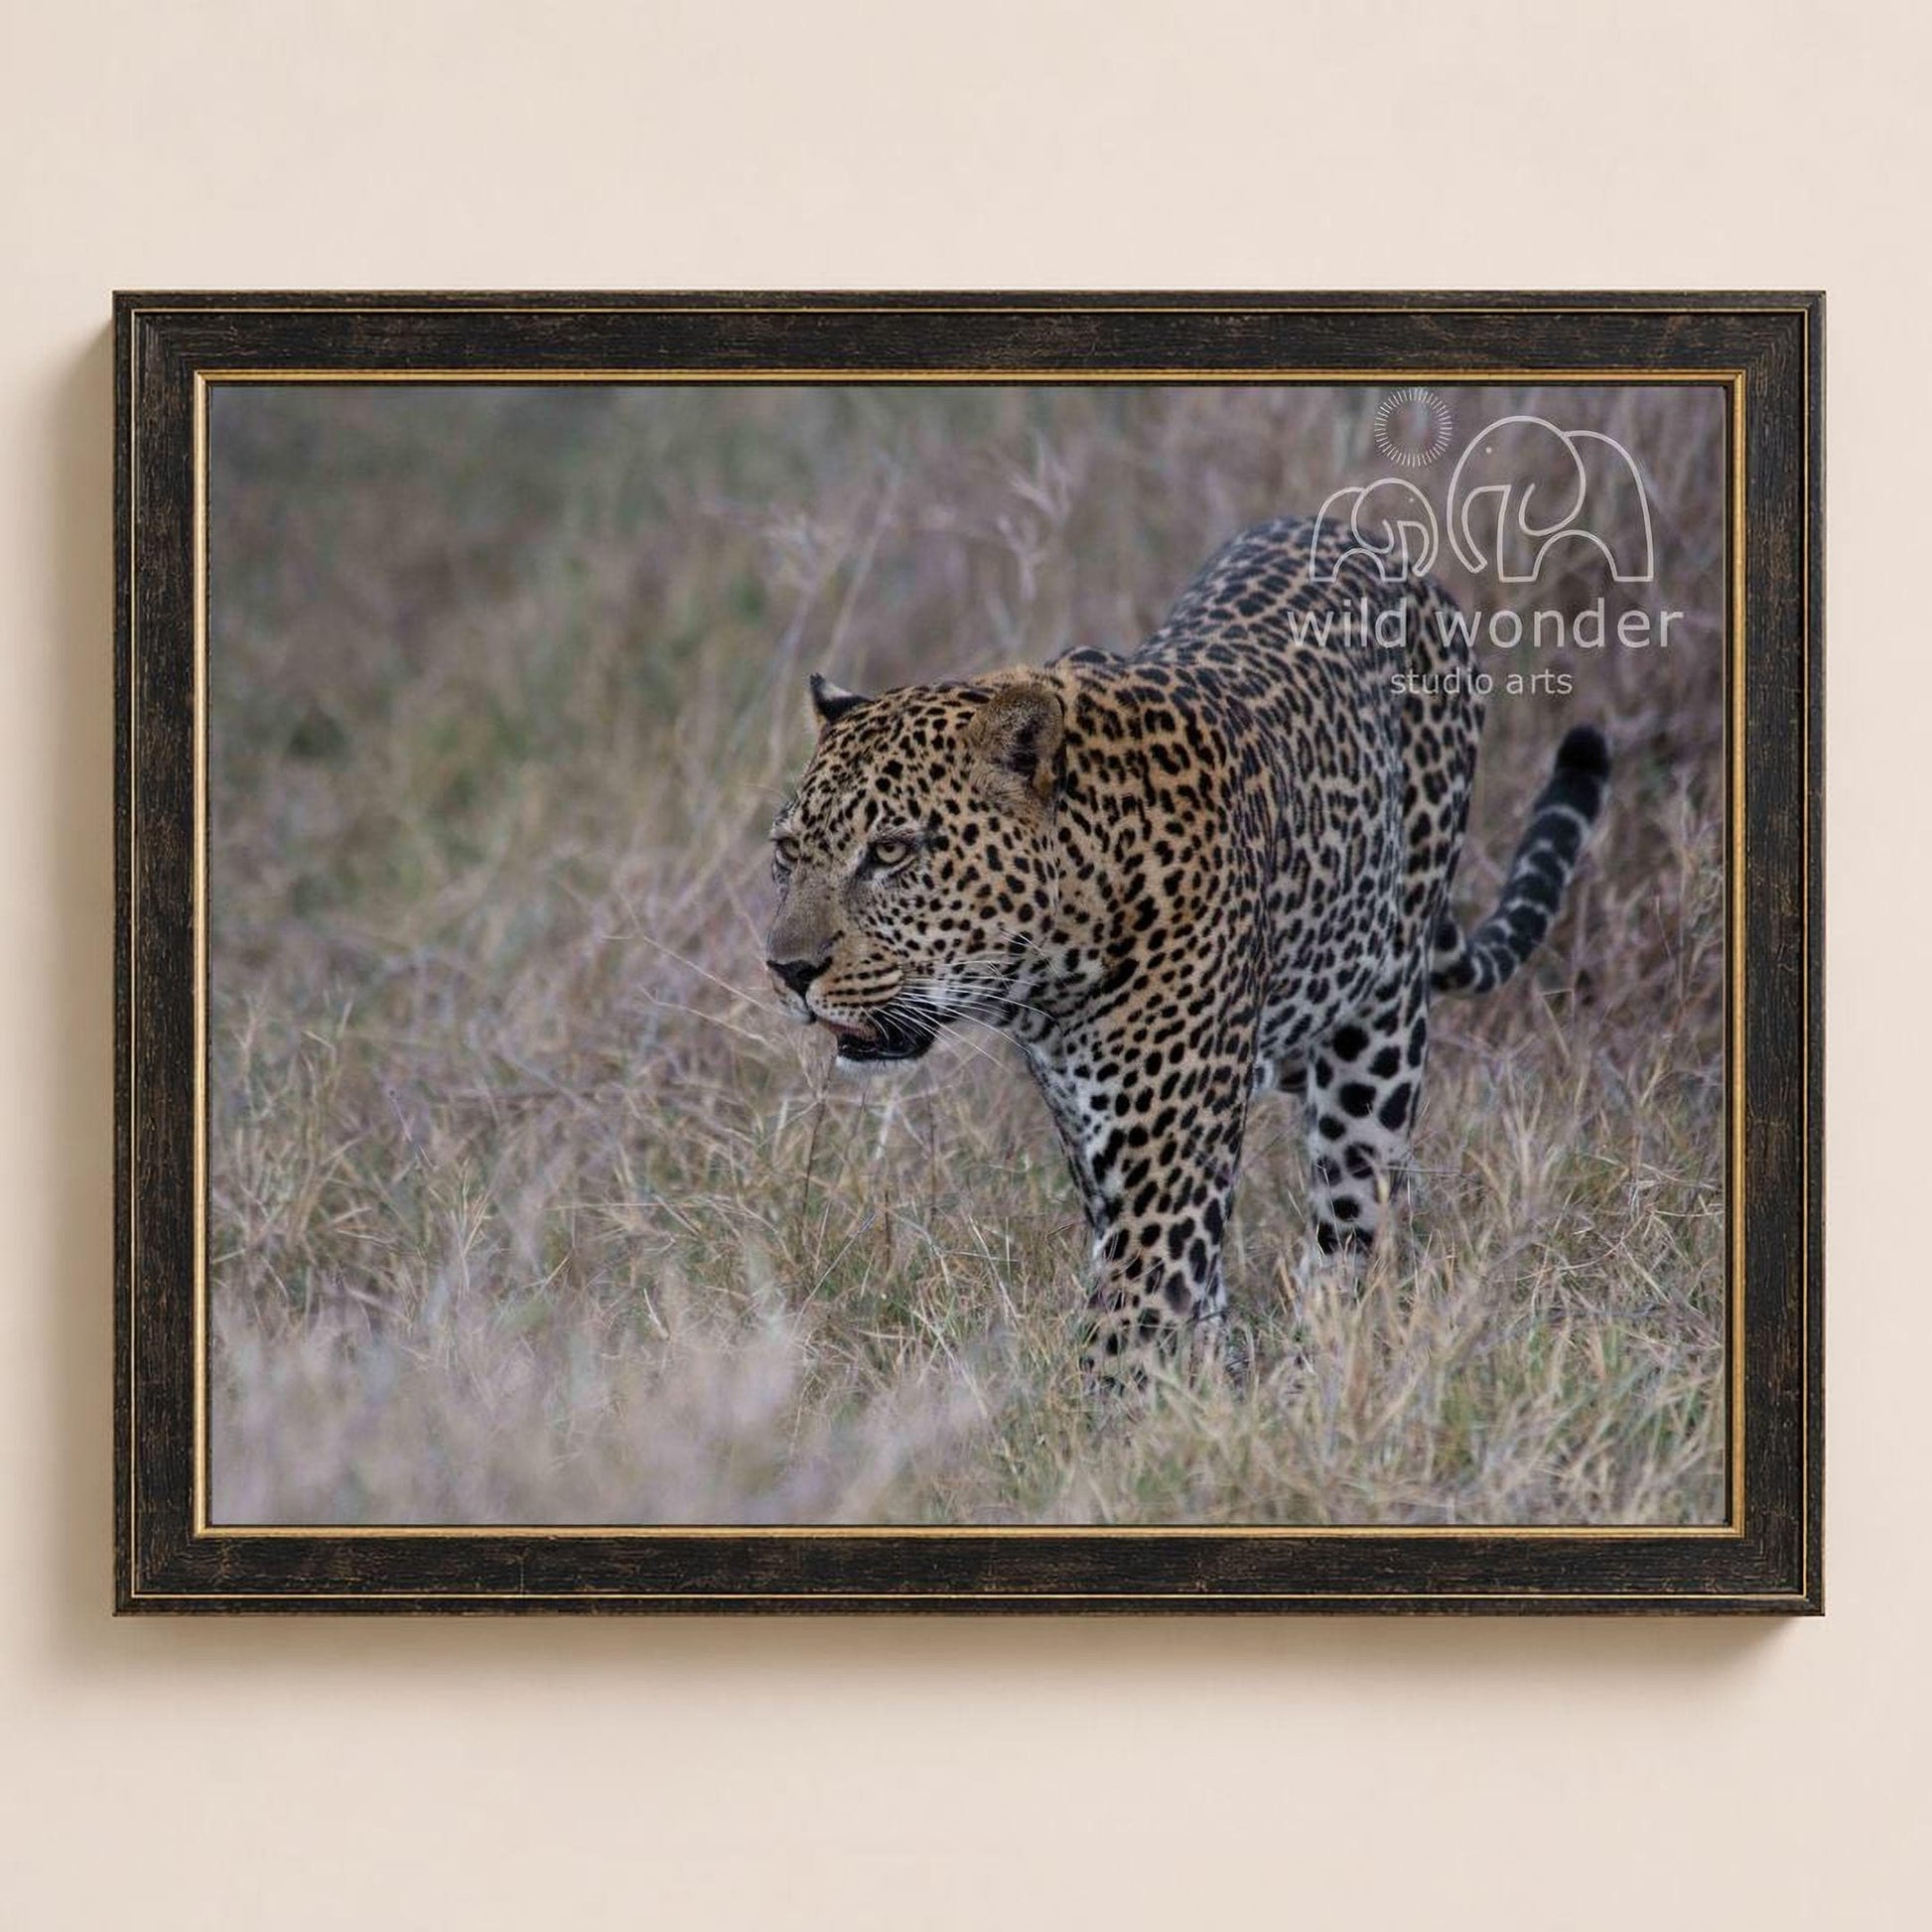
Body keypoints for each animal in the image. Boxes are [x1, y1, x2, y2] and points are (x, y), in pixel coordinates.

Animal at [765, 515, 1610, 1382]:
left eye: (891, 852)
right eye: (788, 851)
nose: (788, 971)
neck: (1052, 969)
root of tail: (1372, 540)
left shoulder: (1165, 1168)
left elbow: (1124, 1334)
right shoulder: (1094, 1145)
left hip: (1379, 1035)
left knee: (1353, 1225)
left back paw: (1326, 1359)